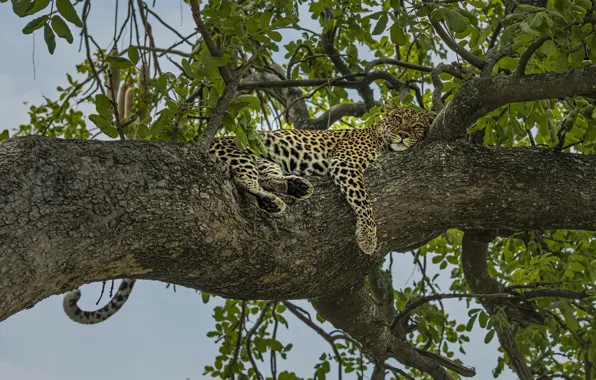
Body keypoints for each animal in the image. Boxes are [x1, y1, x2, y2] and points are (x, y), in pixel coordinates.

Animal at [61, 100, 434, 324]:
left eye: (416, 127)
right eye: (397, 119)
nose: (403, 135)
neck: (378, 136)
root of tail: (202, 142)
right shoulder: (346, 162)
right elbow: (364, 199)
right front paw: (368, 235)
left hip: (264, 158)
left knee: (266, 177)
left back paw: (293, 188)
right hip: (242, 151)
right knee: (243, 179)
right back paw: (276, 198)